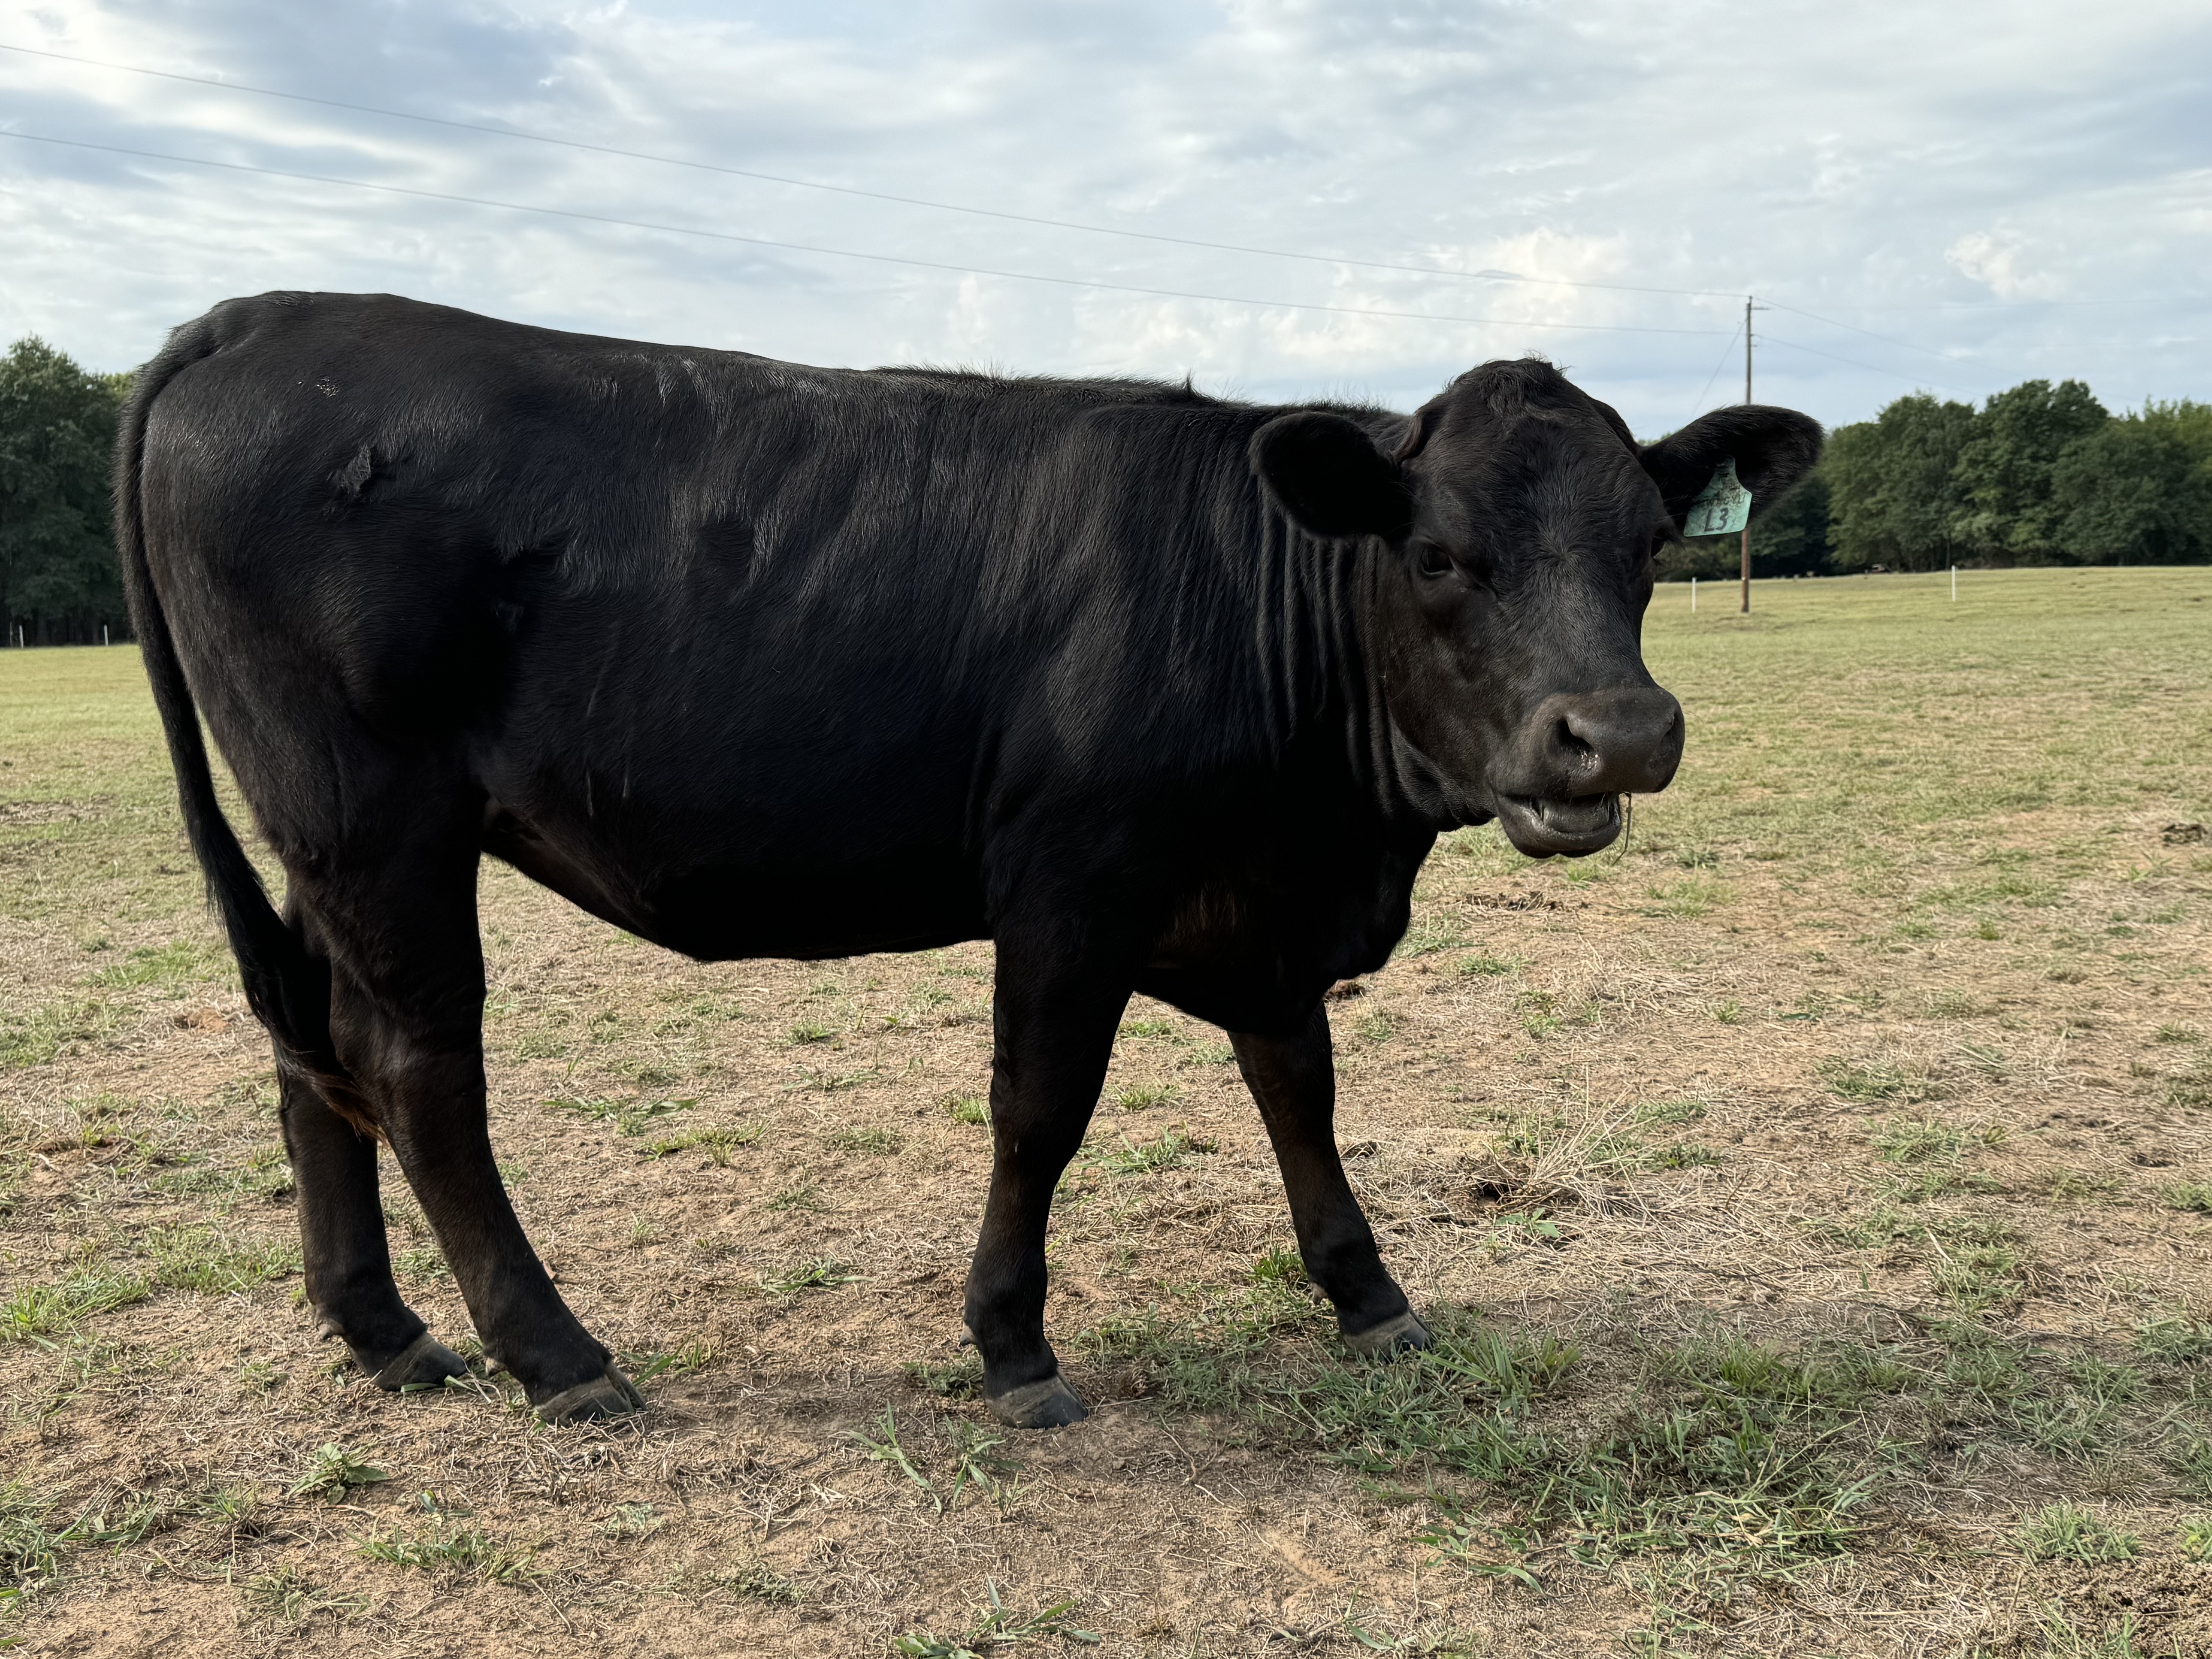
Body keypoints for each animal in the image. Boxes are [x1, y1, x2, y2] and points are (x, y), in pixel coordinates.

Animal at [121, 296, 1814, 1433]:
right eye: (1443, 554)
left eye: (1652, 544)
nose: (1619, 733)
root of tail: (274, 317)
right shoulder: (1071, 882)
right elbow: (1040, 1110)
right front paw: (1013, 1346)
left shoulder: (1260, 902)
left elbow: (1300, 1090)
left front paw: (1366, 1292)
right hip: (377, 821)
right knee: (417, 1068)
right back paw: (560, 1355)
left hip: (322, 843)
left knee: (313, 1054)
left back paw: (382, 1329)